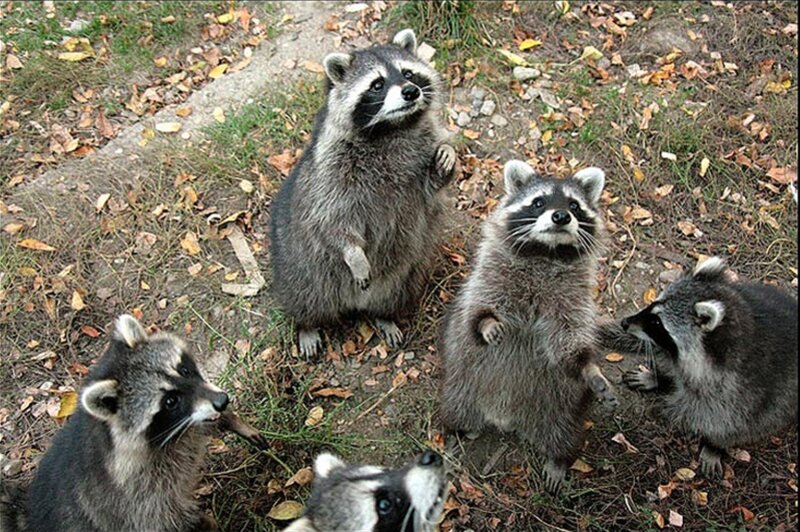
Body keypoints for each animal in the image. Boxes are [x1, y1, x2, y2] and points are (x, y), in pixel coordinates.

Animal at [0, 315, 264, 532]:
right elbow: (166, 518)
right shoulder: (133, 493)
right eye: (170, 401)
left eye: (184, 370)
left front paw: (230, 420)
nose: (222, 400)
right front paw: (205, 523)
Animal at [270, 29, 456, 358]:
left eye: (408, 73)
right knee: (304, 295)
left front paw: (445, 160)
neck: (392, 128)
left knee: (396, 290)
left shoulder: (423, 148)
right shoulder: (332, 168)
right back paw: (307, 324)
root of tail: (352, 304)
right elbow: (330, 218)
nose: (411, 92)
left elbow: (430, 193)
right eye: (377, 84)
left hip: (406, 274)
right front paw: (353, 253)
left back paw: (384, 316)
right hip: (299, 263)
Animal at [439, 160, 618, 493]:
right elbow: (476, 311)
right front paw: (487, 323)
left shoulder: (571, 299)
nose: (561, 216)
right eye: (538, 202)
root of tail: (505, 418)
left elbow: (569, 340)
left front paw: (589, 367)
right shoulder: (490, 277)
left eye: (574, 205)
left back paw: (559, 458)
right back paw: (456, 433)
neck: (546, 253)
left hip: (562, 406)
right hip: (460, 388)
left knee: (564, 431)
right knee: (456, 409)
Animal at [608, 257, 798, 476]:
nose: (625, 322)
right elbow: (676, 371)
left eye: (657, 323)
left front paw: (715, 445)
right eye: (653, 304)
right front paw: (659, 377)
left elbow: (732, 421)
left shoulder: (747, 389)